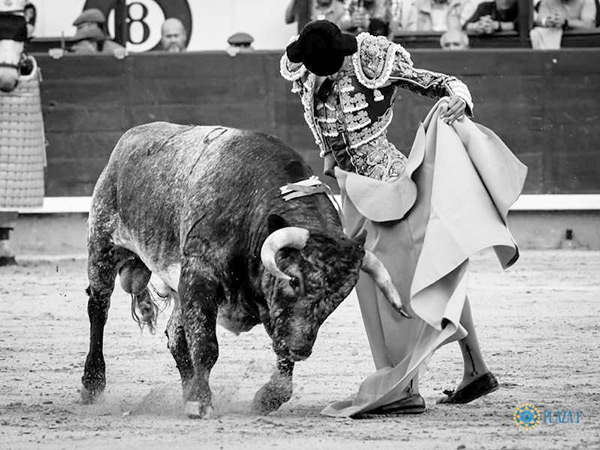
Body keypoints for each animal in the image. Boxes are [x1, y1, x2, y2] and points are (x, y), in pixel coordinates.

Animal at [82, 122, 405, 418]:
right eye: (294, 281)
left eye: (338, 299)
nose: (301, 349)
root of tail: (129, 139)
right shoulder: (200, 275)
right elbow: (205, 344)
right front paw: (201, 402)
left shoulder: (268, 308)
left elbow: (277, 350)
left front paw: (269, 397)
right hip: (102, 245)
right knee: (99, 308)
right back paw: (93, 383)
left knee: (175, 334)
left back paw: (187, 391)